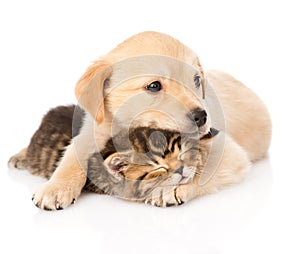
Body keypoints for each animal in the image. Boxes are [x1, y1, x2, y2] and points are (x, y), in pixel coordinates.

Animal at [31, 31, 272, 209]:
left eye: (196, 80)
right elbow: (72, 155)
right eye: (154, 86)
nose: (202, 116)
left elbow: (205, 170)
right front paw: (55, 187)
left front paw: (171, 188)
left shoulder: (228, 150)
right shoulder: (94, 130)